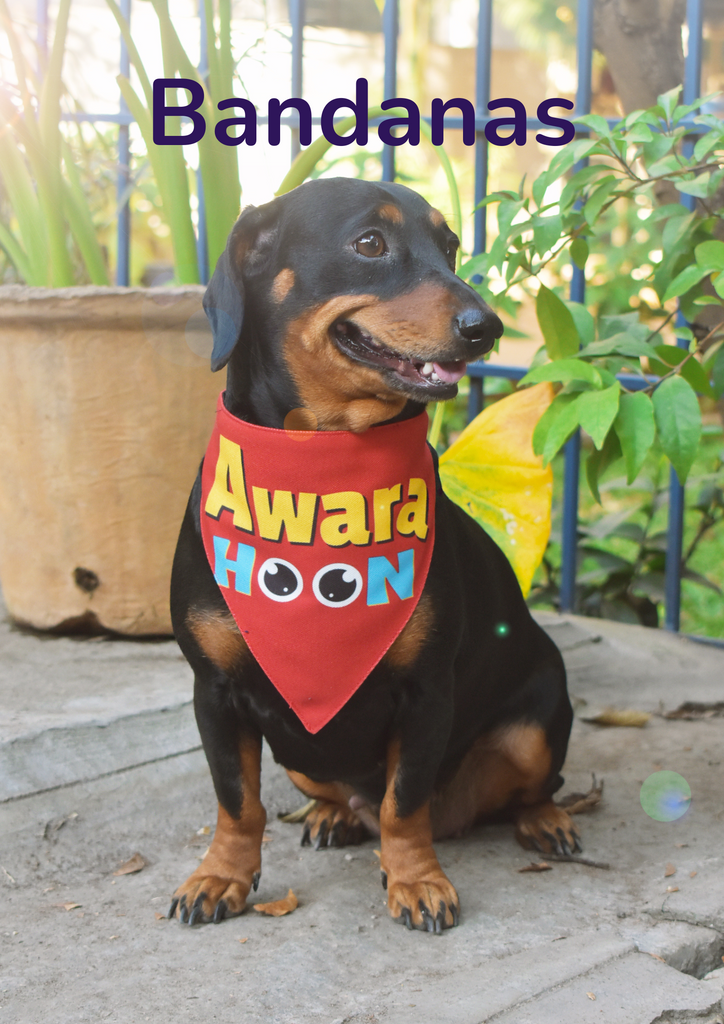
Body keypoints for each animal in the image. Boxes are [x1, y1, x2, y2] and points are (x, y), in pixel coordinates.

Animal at [166, 178, 581, 937]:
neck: (321, 464)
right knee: (334, 796)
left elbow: (402, 803)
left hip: (540, 714)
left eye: (451, 245)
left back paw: (545, 820)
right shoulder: (214, 692)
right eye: (369, 243)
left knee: (535, 785)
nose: (485, 326)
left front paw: (416, 880)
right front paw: (221, 877)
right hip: (298, 749)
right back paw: (332, 814)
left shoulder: (426, 693)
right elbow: (237, 801)